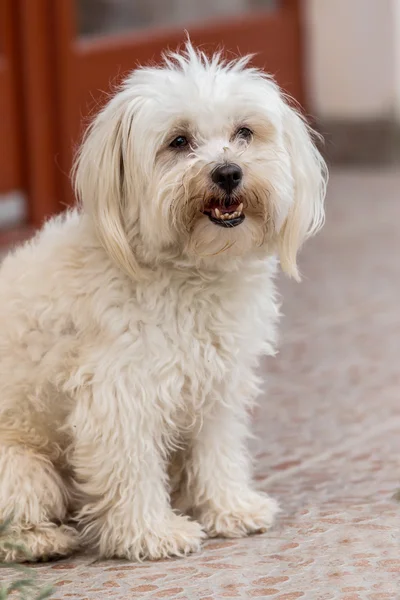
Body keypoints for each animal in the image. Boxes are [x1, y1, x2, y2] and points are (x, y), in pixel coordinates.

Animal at [0, 43, 324, 564]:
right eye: (178, 141)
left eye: (244, 132)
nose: (228, 172)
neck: (188, 274)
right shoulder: (119, 393)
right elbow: (130, 470)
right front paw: (150, 534)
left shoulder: (214, 383)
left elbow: (215, 453)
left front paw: (228, 509)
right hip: (24, 467)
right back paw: (40, 539)